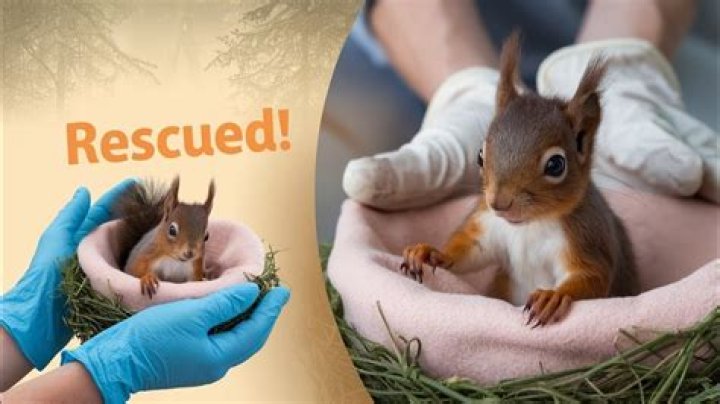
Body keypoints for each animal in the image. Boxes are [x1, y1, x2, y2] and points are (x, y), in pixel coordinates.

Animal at [400, 32, 638, 327]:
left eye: (556, 165)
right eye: (480, 155)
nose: (499, 203)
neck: (529, 226)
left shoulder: (586, 237)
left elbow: (592, 276)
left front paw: (553, 297)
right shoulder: (489, 226)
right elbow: (470, 251)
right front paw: (429, 253)